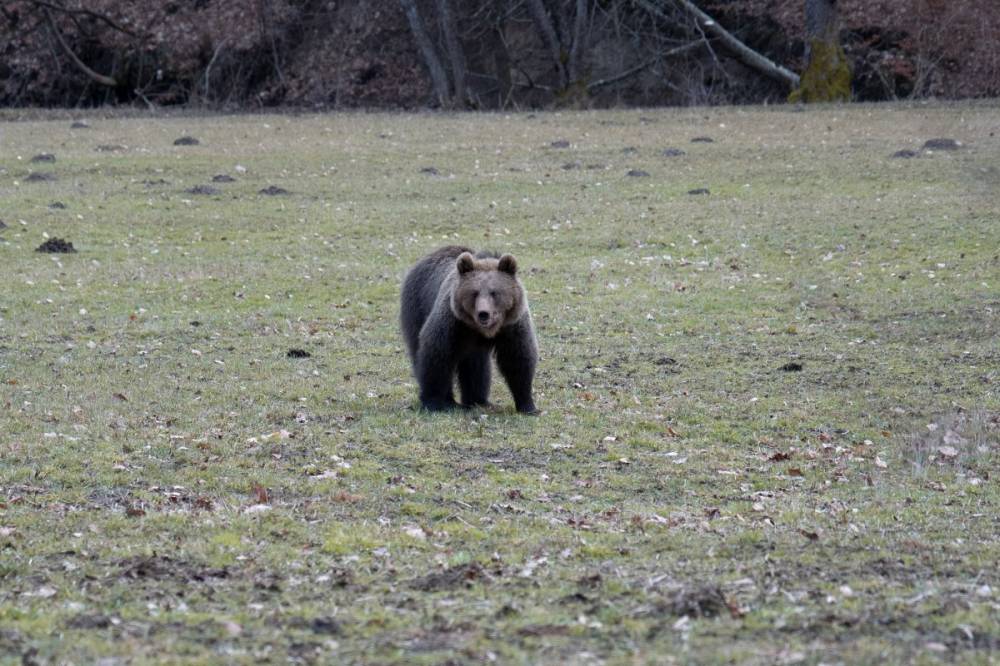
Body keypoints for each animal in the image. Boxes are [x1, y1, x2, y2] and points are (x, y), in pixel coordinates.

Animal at [398, 244, 540, 410]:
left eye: (494, 292)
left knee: (476, 365)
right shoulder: (453, 323)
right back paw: (452, 400)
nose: (483, 313)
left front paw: (528, 405)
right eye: (474, 293)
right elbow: (437, 354)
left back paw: (477, 399)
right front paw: (434, 401)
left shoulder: (511, 326)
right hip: (417, 305)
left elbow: (517, 359)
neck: (482, 330)